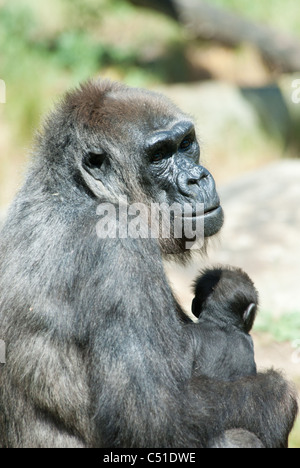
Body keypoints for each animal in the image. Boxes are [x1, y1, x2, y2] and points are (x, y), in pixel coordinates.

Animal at [0, 80, 296, 446]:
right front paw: (280, 394)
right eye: (158, 156)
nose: (197, 179)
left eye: (185, 144)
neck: (78, 190)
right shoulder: (118, 248)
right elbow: (154, 415)